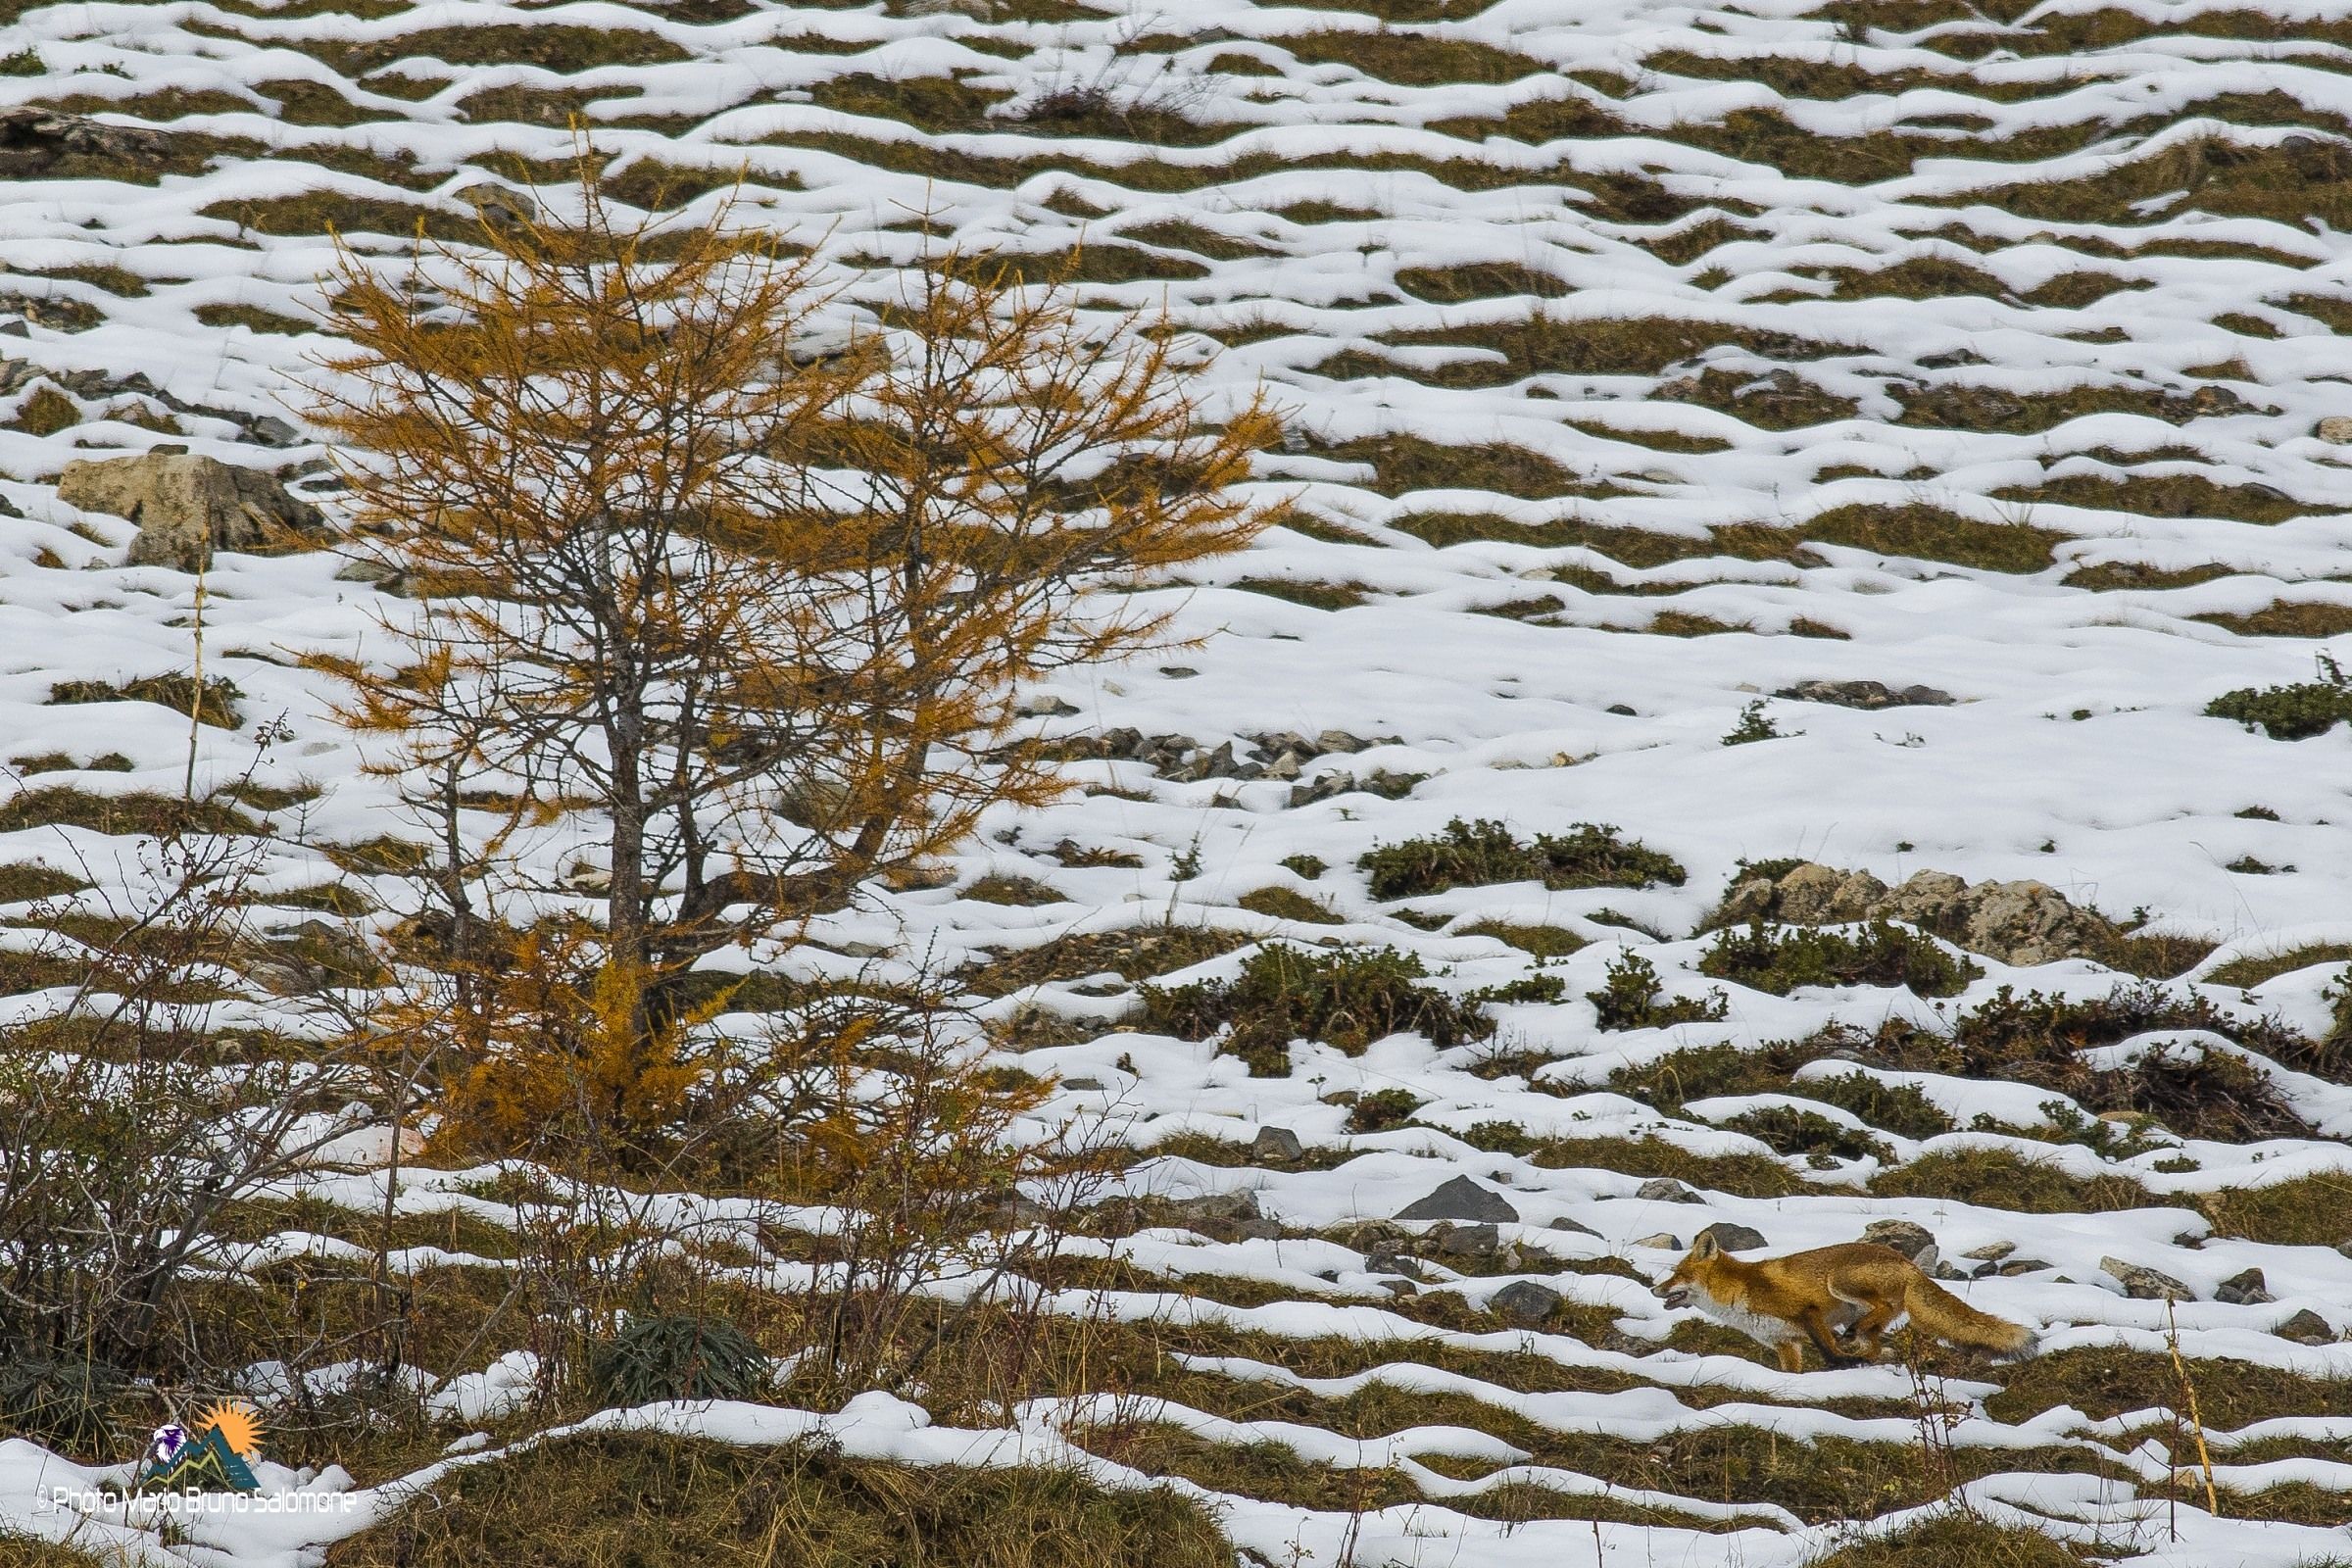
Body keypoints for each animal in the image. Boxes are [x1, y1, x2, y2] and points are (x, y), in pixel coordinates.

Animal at [1652, 1233, 2040, 1373]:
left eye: (1676, 1274)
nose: (1654, 1290)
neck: (1740, 1293)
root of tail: (1908, 1262)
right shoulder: (1786, 1344)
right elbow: (1793, 1371)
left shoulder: (1807, 1312)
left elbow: (1827, 1349)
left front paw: (1839, 1364)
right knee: (1876, 1340)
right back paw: (1865, 1349)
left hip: (1838, 1282)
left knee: (1875, 1316)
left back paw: (1853, 1340)